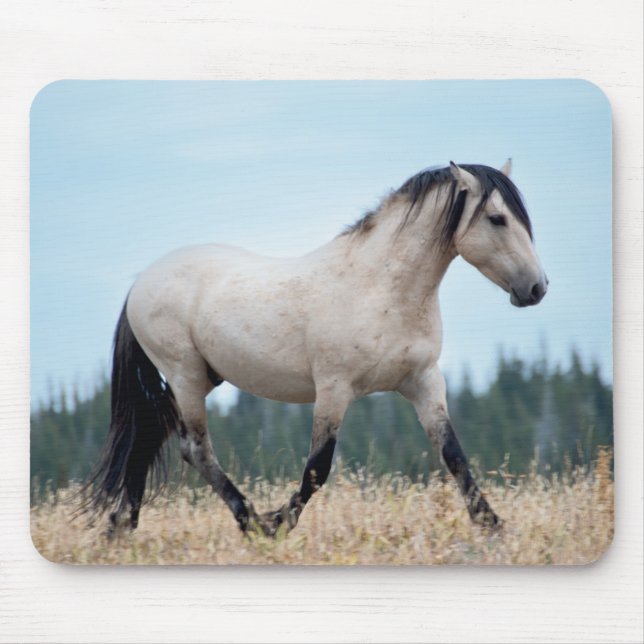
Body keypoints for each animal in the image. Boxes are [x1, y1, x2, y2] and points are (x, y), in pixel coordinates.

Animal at [82, 160, 547, 537]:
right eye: (497, 218)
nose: (537, 288)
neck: (380, 287)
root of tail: (142, 281)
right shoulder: (334, 389)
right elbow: (317, 469)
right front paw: (279, 524)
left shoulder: (423, 382)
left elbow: (454, 455)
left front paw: (493, 525)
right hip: (185, 376)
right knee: (195, 449)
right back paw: (250, 522)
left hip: (203, 378)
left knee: (149, 434)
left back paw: (121, 527)